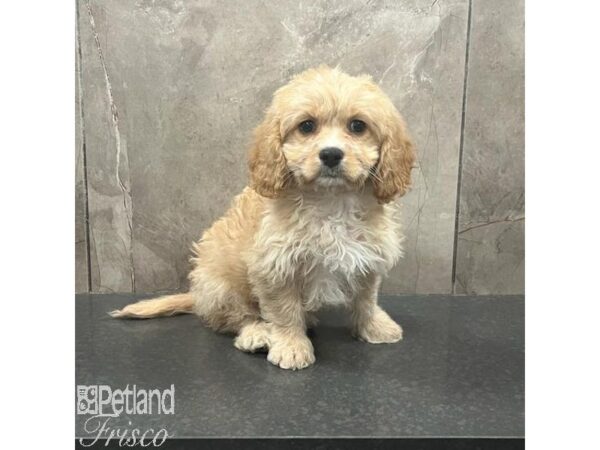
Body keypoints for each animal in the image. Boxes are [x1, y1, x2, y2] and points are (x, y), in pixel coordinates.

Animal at [115, 66, 420, 370]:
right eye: (306, 126)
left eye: (357, 126)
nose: (331, 154)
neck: (330, 201)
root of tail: (198, 296)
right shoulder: (274, 266)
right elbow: (283, 311)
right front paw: (291, 346)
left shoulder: (369, 256)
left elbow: (366, 298)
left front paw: (374, 327)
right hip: (220, 284)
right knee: (238, 317)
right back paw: (257, 334)